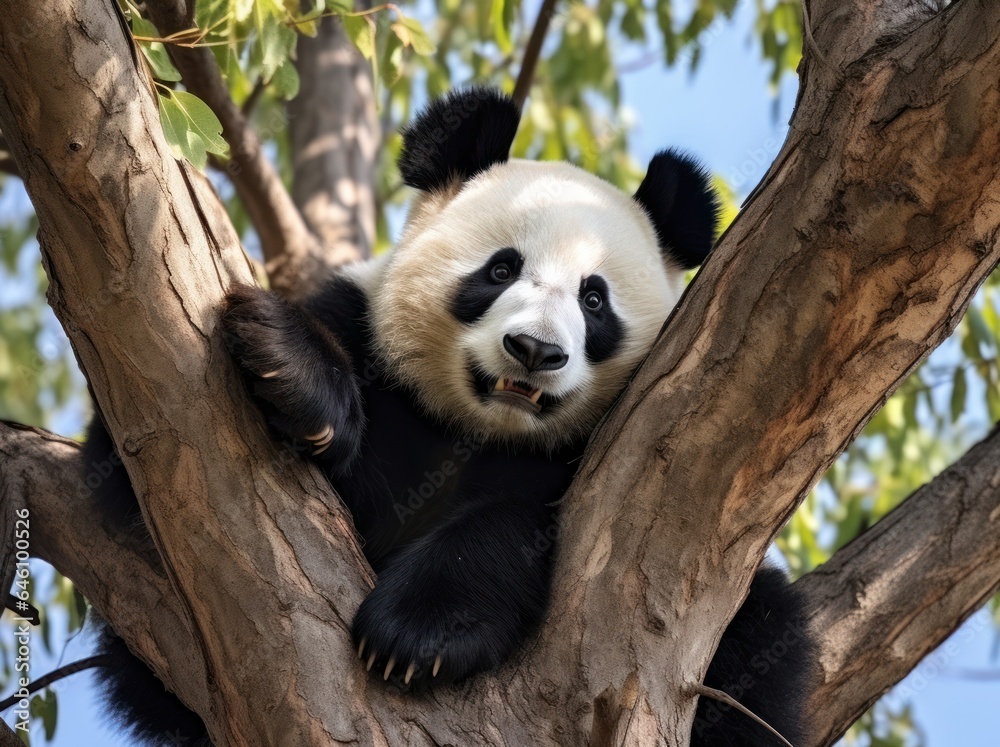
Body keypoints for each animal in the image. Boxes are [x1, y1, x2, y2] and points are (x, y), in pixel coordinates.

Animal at [86, 89, 816, 747]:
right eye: (501, 269)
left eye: (594, 300)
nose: (534, 351)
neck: (477, 428)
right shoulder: (366, 338)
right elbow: (130, 469)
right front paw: (288, 370)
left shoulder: (597, 461)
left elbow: (517, 525)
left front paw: (416, 634)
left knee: (762, 637)